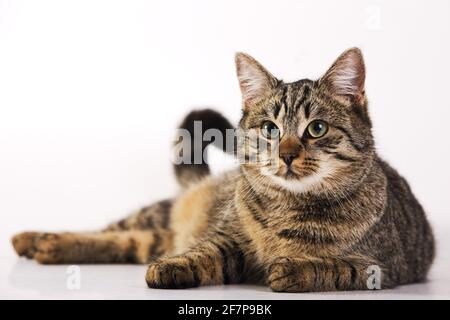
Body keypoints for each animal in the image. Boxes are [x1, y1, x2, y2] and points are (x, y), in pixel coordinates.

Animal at [10, 48, 434, 292]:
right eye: (270, 129)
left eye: (316, 129)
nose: (287, 154)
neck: (289, 206)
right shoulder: (228, 238)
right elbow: (204, 252)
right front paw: (174, 266)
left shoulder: (383, 266)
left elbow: (336, 265)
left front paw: (296, 269)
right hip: (159, 214)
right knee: (109, 230)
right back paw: (35, 239)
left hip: (152, 236)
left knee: (127, 242)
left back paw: (44, 246)